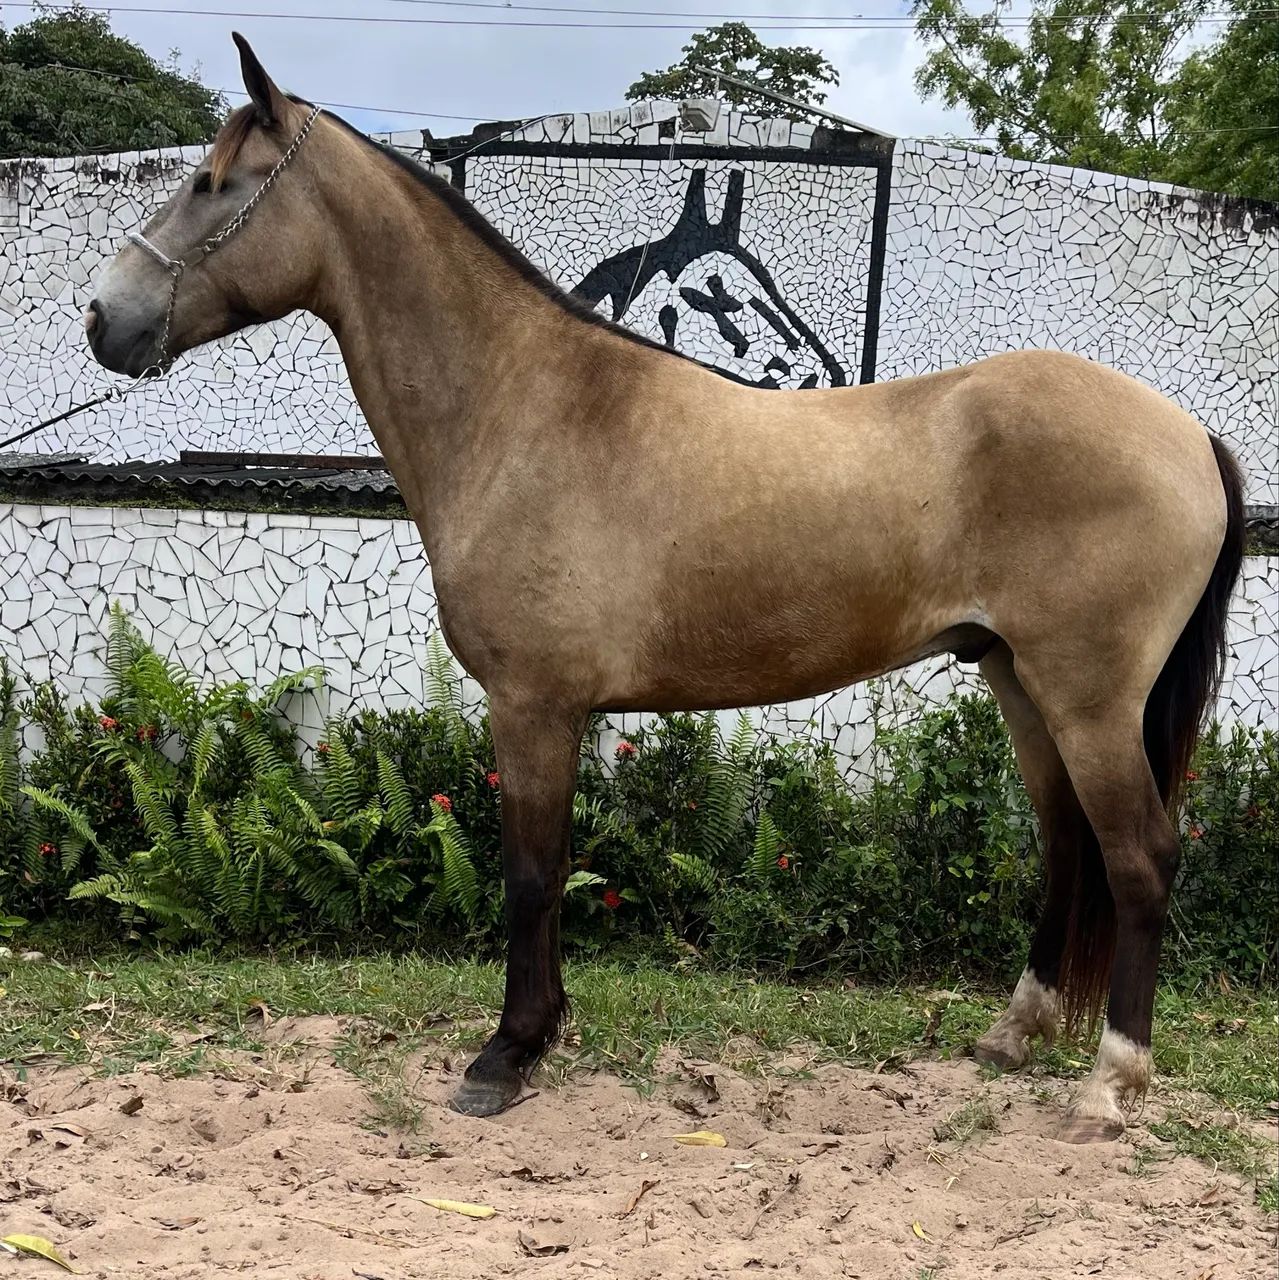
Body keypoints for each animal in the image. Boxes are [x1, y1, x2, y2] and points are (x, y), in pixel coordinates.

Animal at [84, 35, 1245, 1142]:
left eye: (211, 183)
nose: (103, 319)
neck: (525, 406)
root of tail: (1191, 432)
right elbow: (553, 872)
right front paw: (542, 1035)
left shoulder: (533, 704)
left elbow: (530, 874)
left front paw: (505, 1056)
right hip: (1019, 680)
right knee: (1066, 845)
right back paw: (1014, 1033)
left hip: (1086, 697)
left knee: (1138, 859)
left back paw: (1107, 1086)